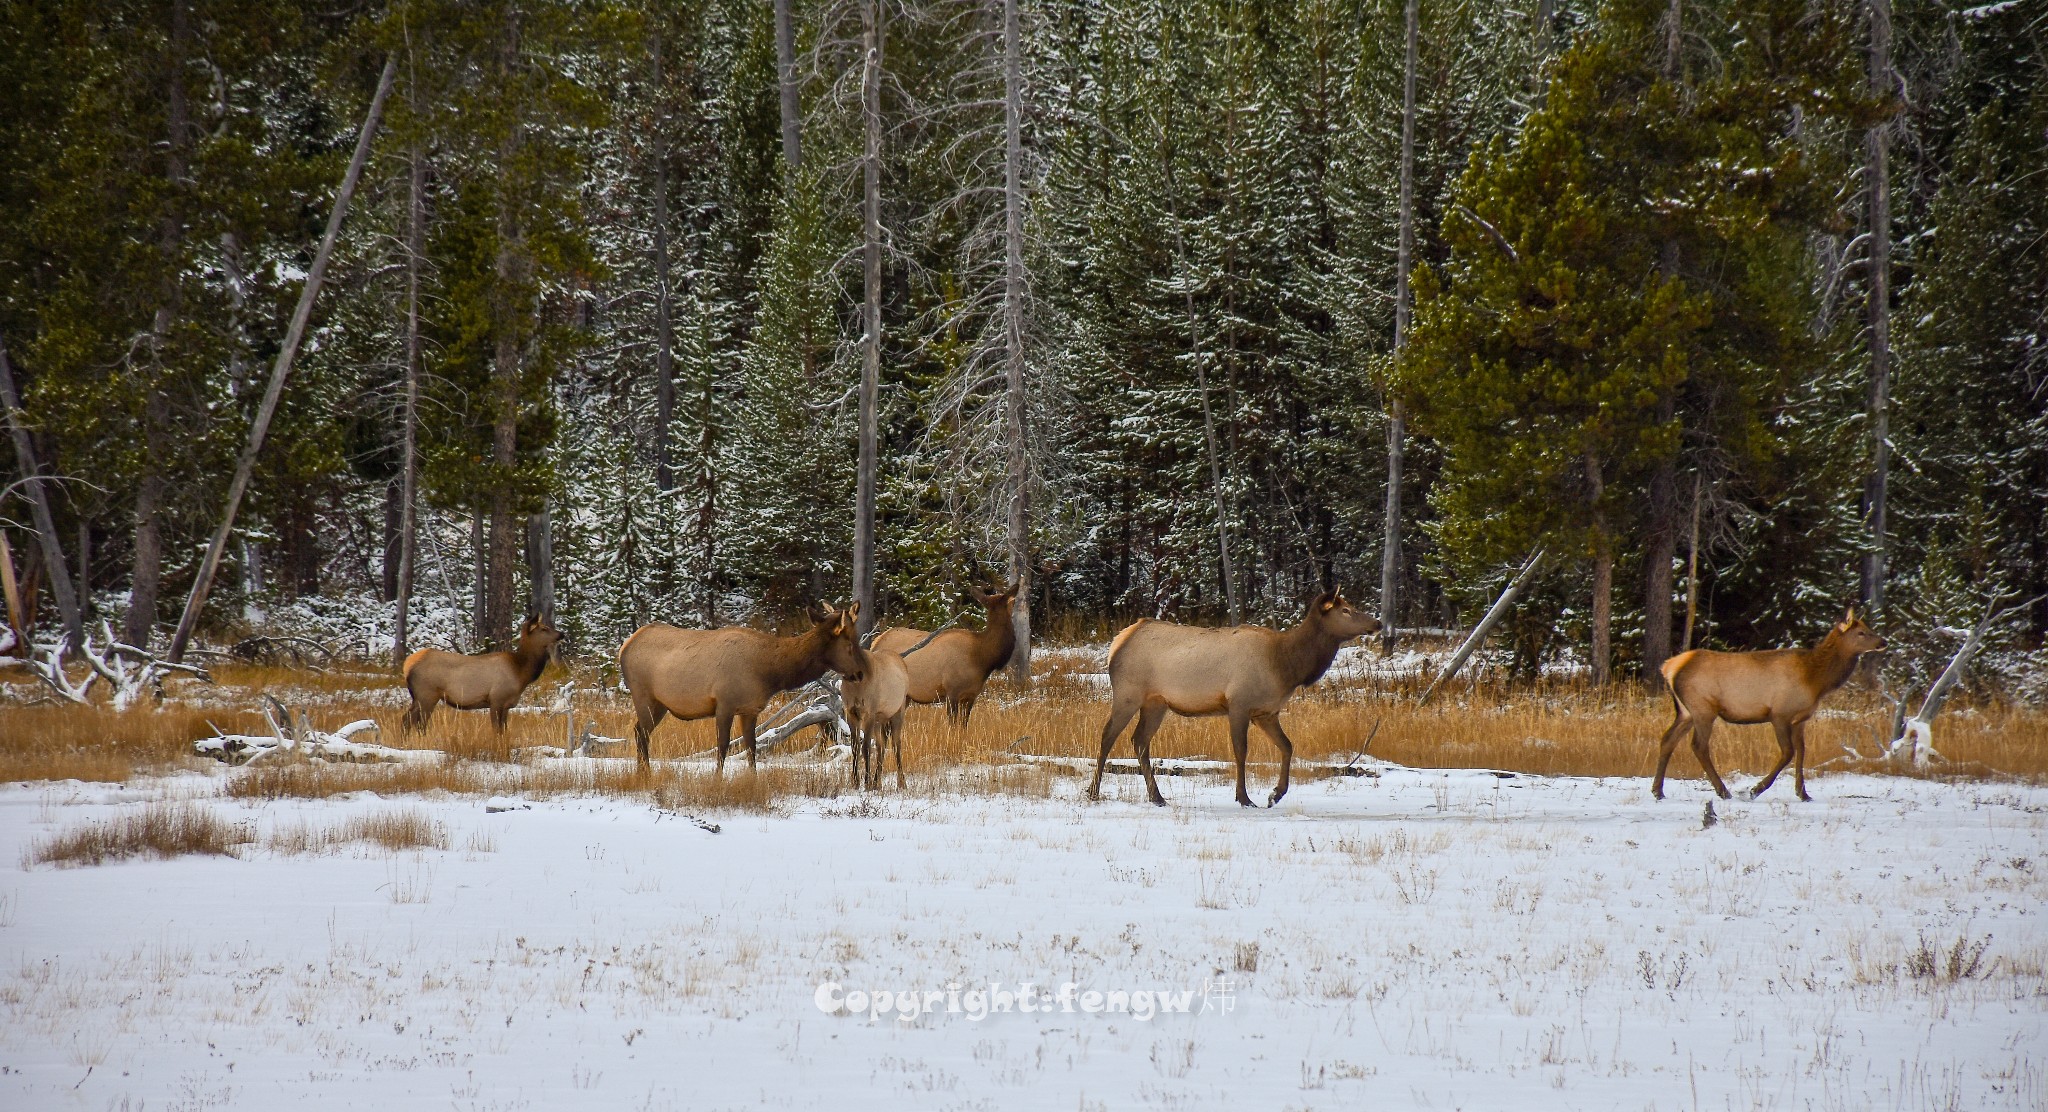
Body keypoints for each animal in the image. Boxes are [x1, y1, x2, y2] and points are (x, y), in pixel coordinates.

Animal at [401, 614, 561, 737]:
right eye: (544, 628)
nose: (562, 634)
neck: (521, 672)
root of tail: (407, 665)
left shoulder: (507, 705)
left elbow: (504, 729)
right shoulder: (497, 699)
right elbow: (497, 729)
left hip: (419, 697)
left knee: (407, 719)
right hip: (427, 695)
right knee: (416, 721)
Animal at [610, 602, 860, 774]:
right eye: (850, 644)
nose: (859, 673)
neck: (769, 672)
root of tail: (624, 646)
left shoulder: (750, 709)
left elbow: (751, 747)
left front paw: (753, 779)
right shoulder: (724, 704)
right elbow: (723, 746)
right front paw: (717, 779)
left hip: (660, 703)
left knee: (639, 731)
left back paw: (643, 772)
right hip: (643, 696)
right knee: (640, 732)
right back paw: (645, 773)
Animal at [835, 643, 909, 790]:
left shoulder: (869, 713)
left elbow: (866, 748)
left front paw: (866, 782)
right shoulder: (851, 713)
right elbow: (855, 747)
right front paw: (855, 781)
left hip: (898, 711)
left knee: (896, 744)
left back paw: (901, 783)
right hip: (880, 719)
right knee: (881, 746)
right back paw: (877, 782)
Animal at [868, 581, 1019, 729]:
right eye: (1012, 602)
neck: (982, 658)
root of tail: (875, 643)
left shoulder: (971, 695)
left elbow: (964, 725)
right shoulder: (952, 691)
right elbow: (952, 725)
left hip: (904, 696)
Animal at [1646, 610, 1884, 802]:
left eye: (1868, 628)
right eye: (1861, 632)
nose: (1883, 642)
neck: (1816, 680)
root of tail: (1669, 667)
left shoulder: (1801, 719)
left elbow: (1802, 751)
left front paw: (1803, 793)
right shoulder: (1779, 714)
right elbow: (1787, 752)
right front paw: (1755, 789)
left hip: (1686, 712)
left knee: (1668, 739)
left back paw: (1658, 791)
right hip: (1703, 708)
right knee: (1698, 745)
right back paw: (1723, 791)